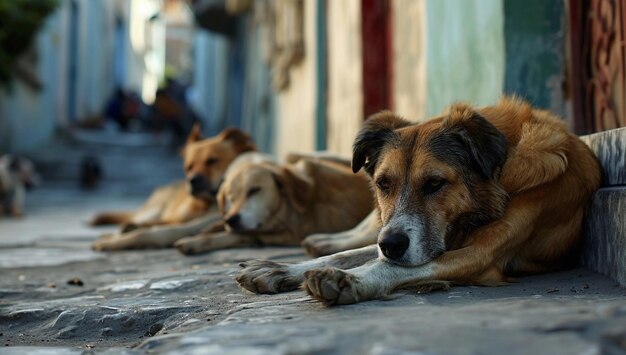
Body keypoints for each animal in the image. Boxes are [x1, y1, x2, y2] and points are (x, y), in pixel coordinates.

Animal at [171, 156, 372, 256]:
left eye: (254, 190)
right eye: (230, 197)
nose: (232, 219)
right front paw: (211, 228)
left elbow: (240, 235)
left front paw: (193, 242)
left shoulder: (289, 233)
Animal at [235, 97, 600, 306]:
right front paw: (280, 269)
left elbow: (386, 265)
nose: (392, 244)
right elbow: (352, 255)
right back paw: (321, 242)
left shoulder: (480, 254)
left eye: (435, 183)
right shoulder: (399, 235)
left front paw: (351, 280)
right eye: (383, 183)